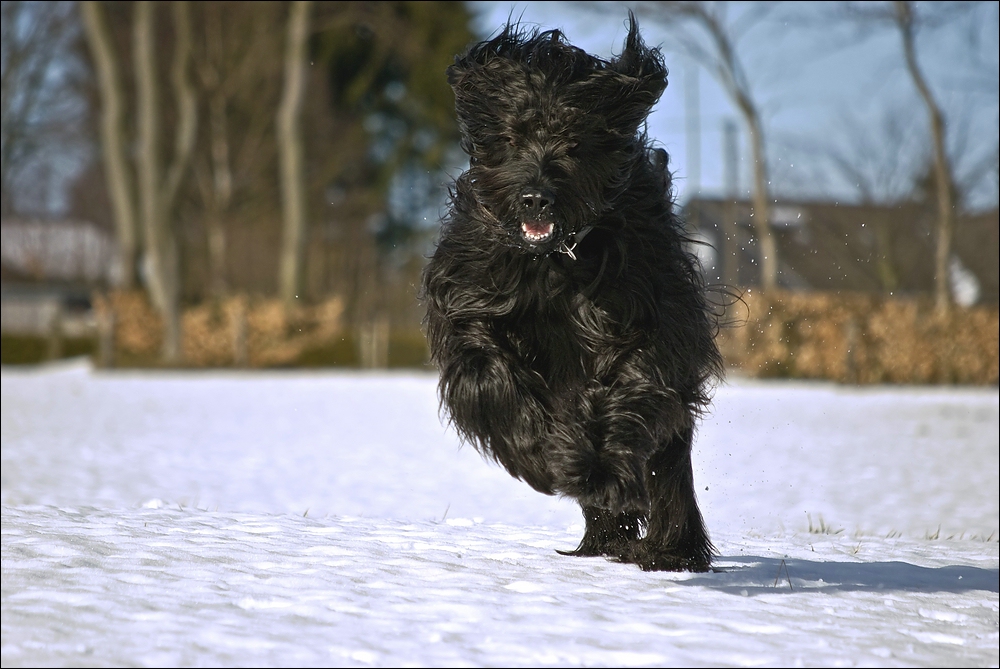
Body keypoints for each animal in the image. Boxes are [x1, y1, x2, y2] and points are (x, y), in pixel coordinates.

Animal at [424, 14, 728, 568]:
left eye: (574, 141)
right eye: (513, 136)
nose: (535, 198)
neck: (552, 264)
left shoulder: (646, 319)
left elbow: (631, 388)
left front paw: (600, 470)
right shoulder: (469, 303)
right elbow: (485, 376)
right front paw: (537, 452)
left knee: (669, 463)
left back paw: (669, 549)